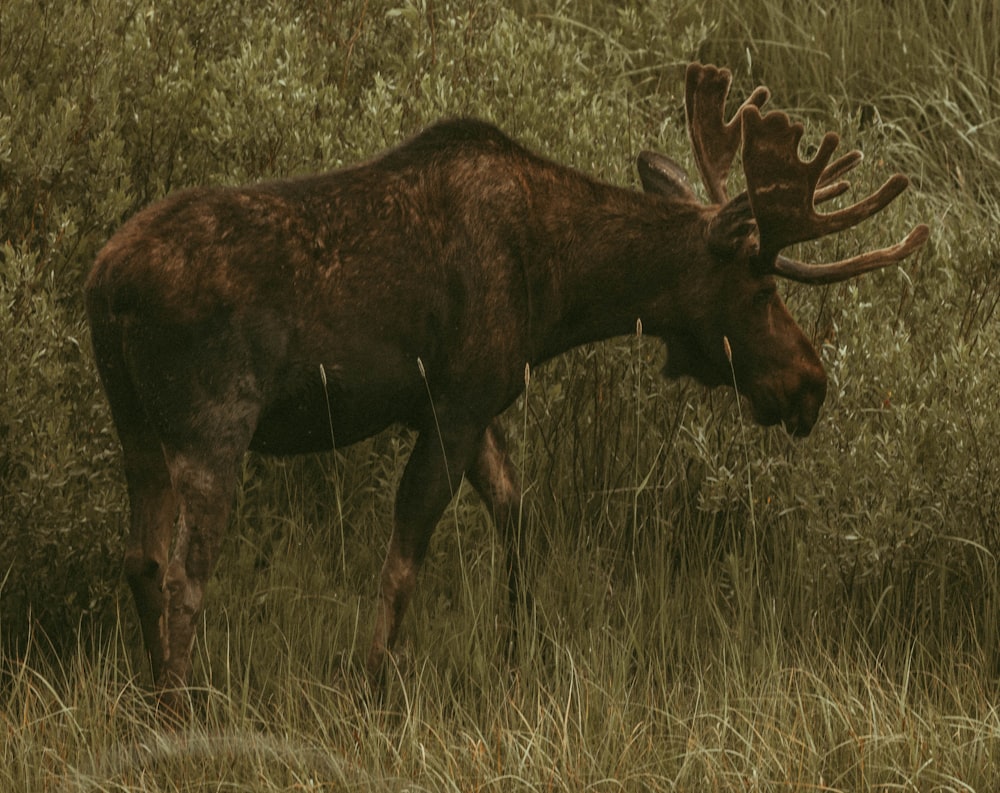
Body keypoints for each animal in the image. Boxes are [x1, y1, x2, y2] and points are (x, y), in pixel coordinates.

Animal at [84, 63, 928, 704]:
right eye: (759, 289)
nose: (811, 382)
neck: (560, 290)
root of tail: (105, 285)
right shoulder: (455, 401)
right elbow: (403, 559)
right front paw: (372, 686)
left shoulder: (473, 401)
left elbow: (517, 521)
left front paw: (516, 656)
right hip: (213, 421)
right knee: (185, 575)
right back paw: (180, 705)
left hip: (135, 425)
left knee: (141, 559)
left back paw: (153, 695)